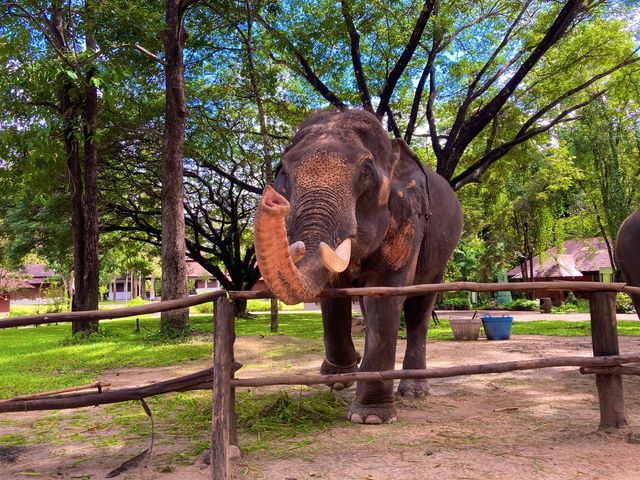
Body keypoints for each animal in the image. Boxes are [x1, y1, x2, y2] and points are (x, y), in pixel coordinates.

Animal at [252, 109, 462, 424]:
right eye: (282, 172)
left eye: (366, 172)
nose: (272, 201)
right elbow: (334, 291)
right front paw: (340, 377)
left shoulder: (408, 218)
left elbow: (385, 292)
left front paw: (371, 417)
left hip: (440, 255)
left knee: (419, 308)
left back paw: (414, 390)